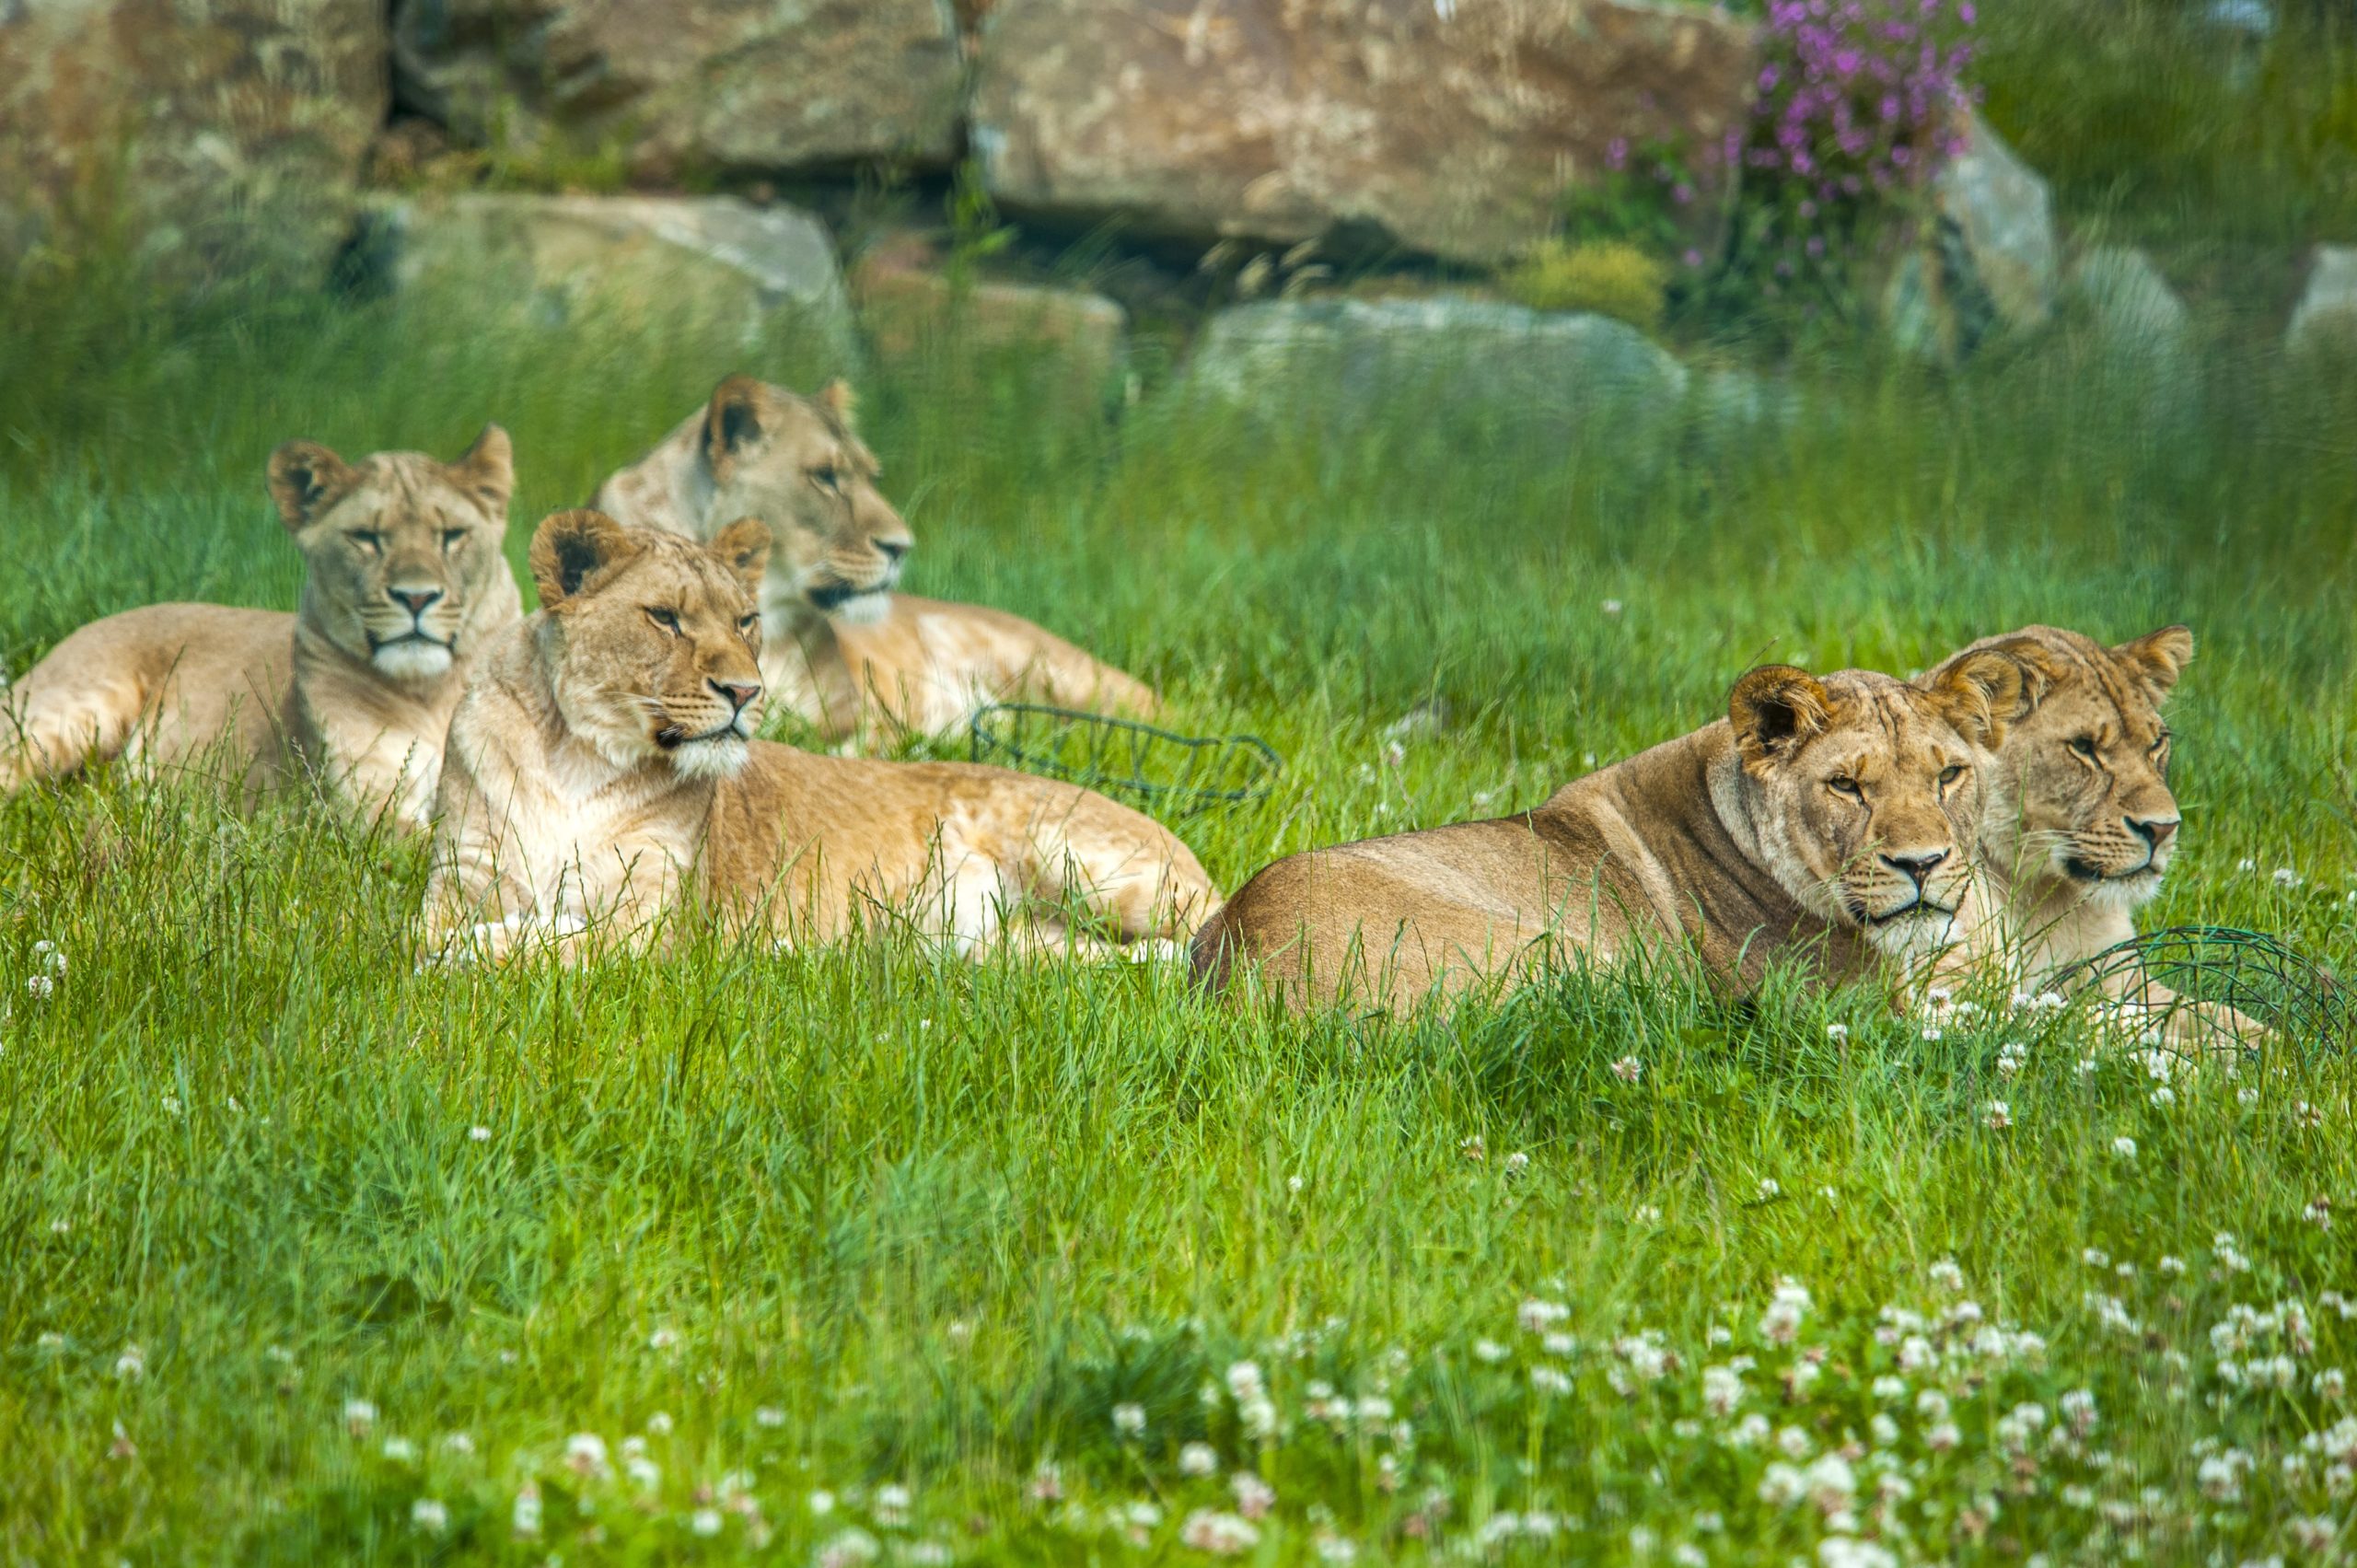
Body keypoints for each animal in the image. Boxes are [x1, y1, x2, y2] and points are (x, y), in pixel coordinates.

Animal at [3, 422, 520, 825]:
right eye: (366, 538)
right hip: (66, 714)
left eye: (451, 536)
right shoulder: (367, 812)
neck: (431, 693)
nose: (416, 597)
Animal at [426, 506, 1225, 961]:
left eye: (745, 620)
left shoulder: (653, 919)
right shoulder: (461, 875)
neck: (579, 758)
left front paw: (485, 944)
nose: (745, 692)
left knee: (1207, 933)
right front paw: (468, 941)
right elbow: (434, 930)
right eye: (666, 618)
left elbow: (546, 944)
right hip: (1012, 946)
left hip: (1084, 860)